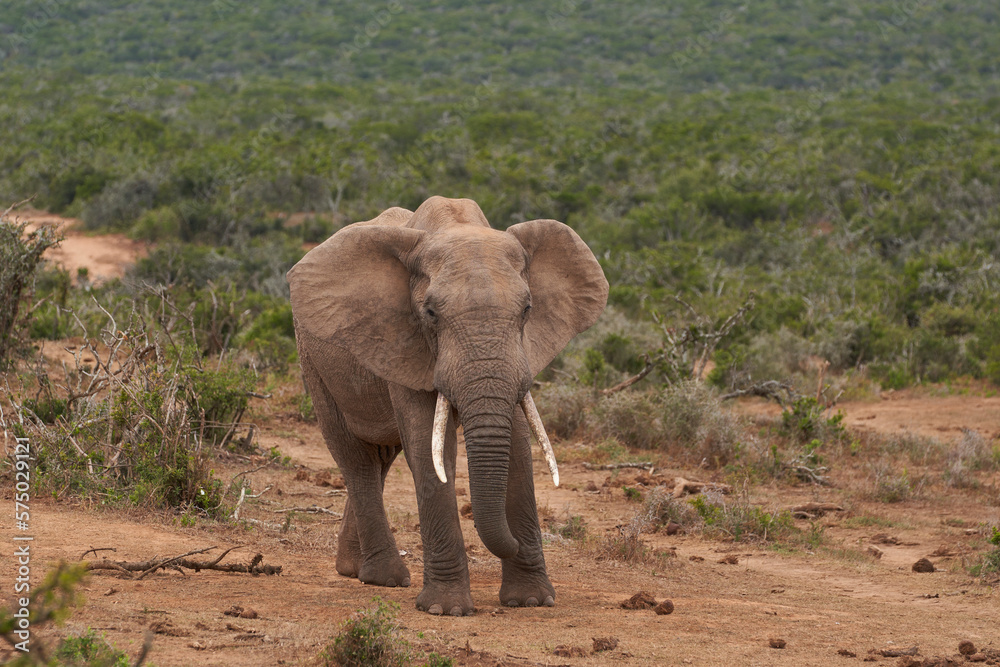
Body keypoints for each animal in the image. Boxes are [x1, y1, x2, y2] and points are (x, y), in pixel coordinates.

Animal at [286, 196, 608, 616]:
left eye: (527, 309)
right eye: (431, 313)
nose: (513, 544)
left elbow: (518, 445)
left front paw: (531, 601)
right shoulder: (403, 340)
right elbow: (428, 450)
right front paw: (447, 609)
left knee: (381, 457)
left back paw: (353, 568)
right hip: (313, 361)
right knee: (356, 458)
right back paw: (384, 577)